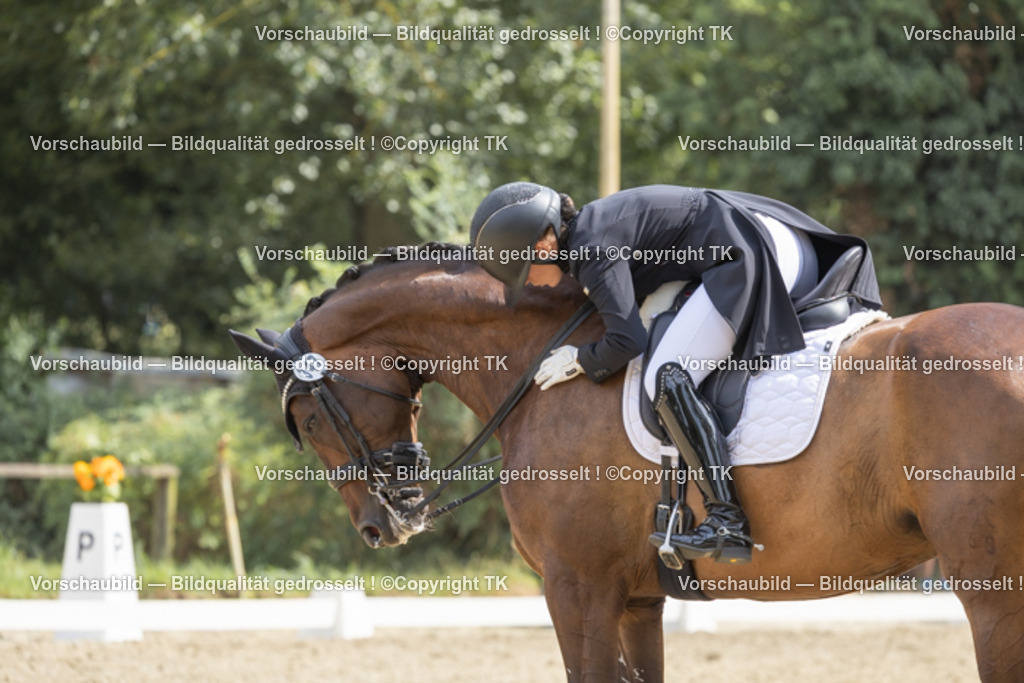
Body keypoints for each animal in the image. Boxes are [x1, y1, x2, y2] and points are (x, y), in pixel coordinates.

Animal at [230, 249, 1024, 682]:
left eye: (307, 420)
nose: (380, 526)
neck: (538, 368)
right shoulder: (638, 598)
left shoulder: (576, 588)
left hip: (993, 595)